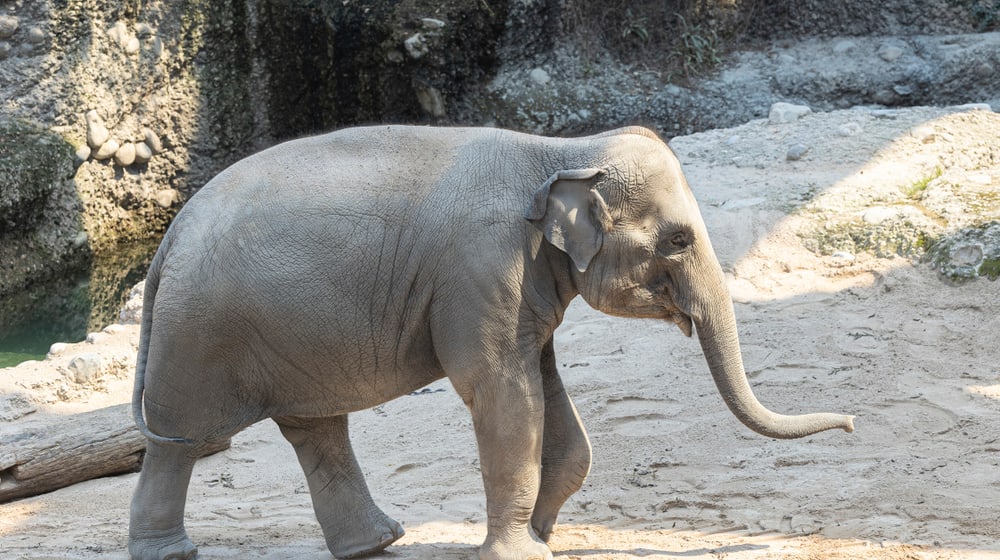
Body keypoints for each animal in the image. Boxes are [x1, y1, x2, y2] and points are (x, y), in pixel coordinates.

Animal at [128, 125, 854, 560]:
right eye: (678, 240)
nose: (850, 422)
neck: (560, 151)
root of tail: (167, 240)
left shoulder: (526, 286)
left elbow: (550, 397)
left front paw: (541, 535)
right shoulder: (482, 270)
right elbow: (501, 393)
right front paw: (523, 549)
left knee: (317, 429)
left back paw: (377, 543)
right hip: (201, 334)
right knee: (179, 440)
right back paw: (173, 552)